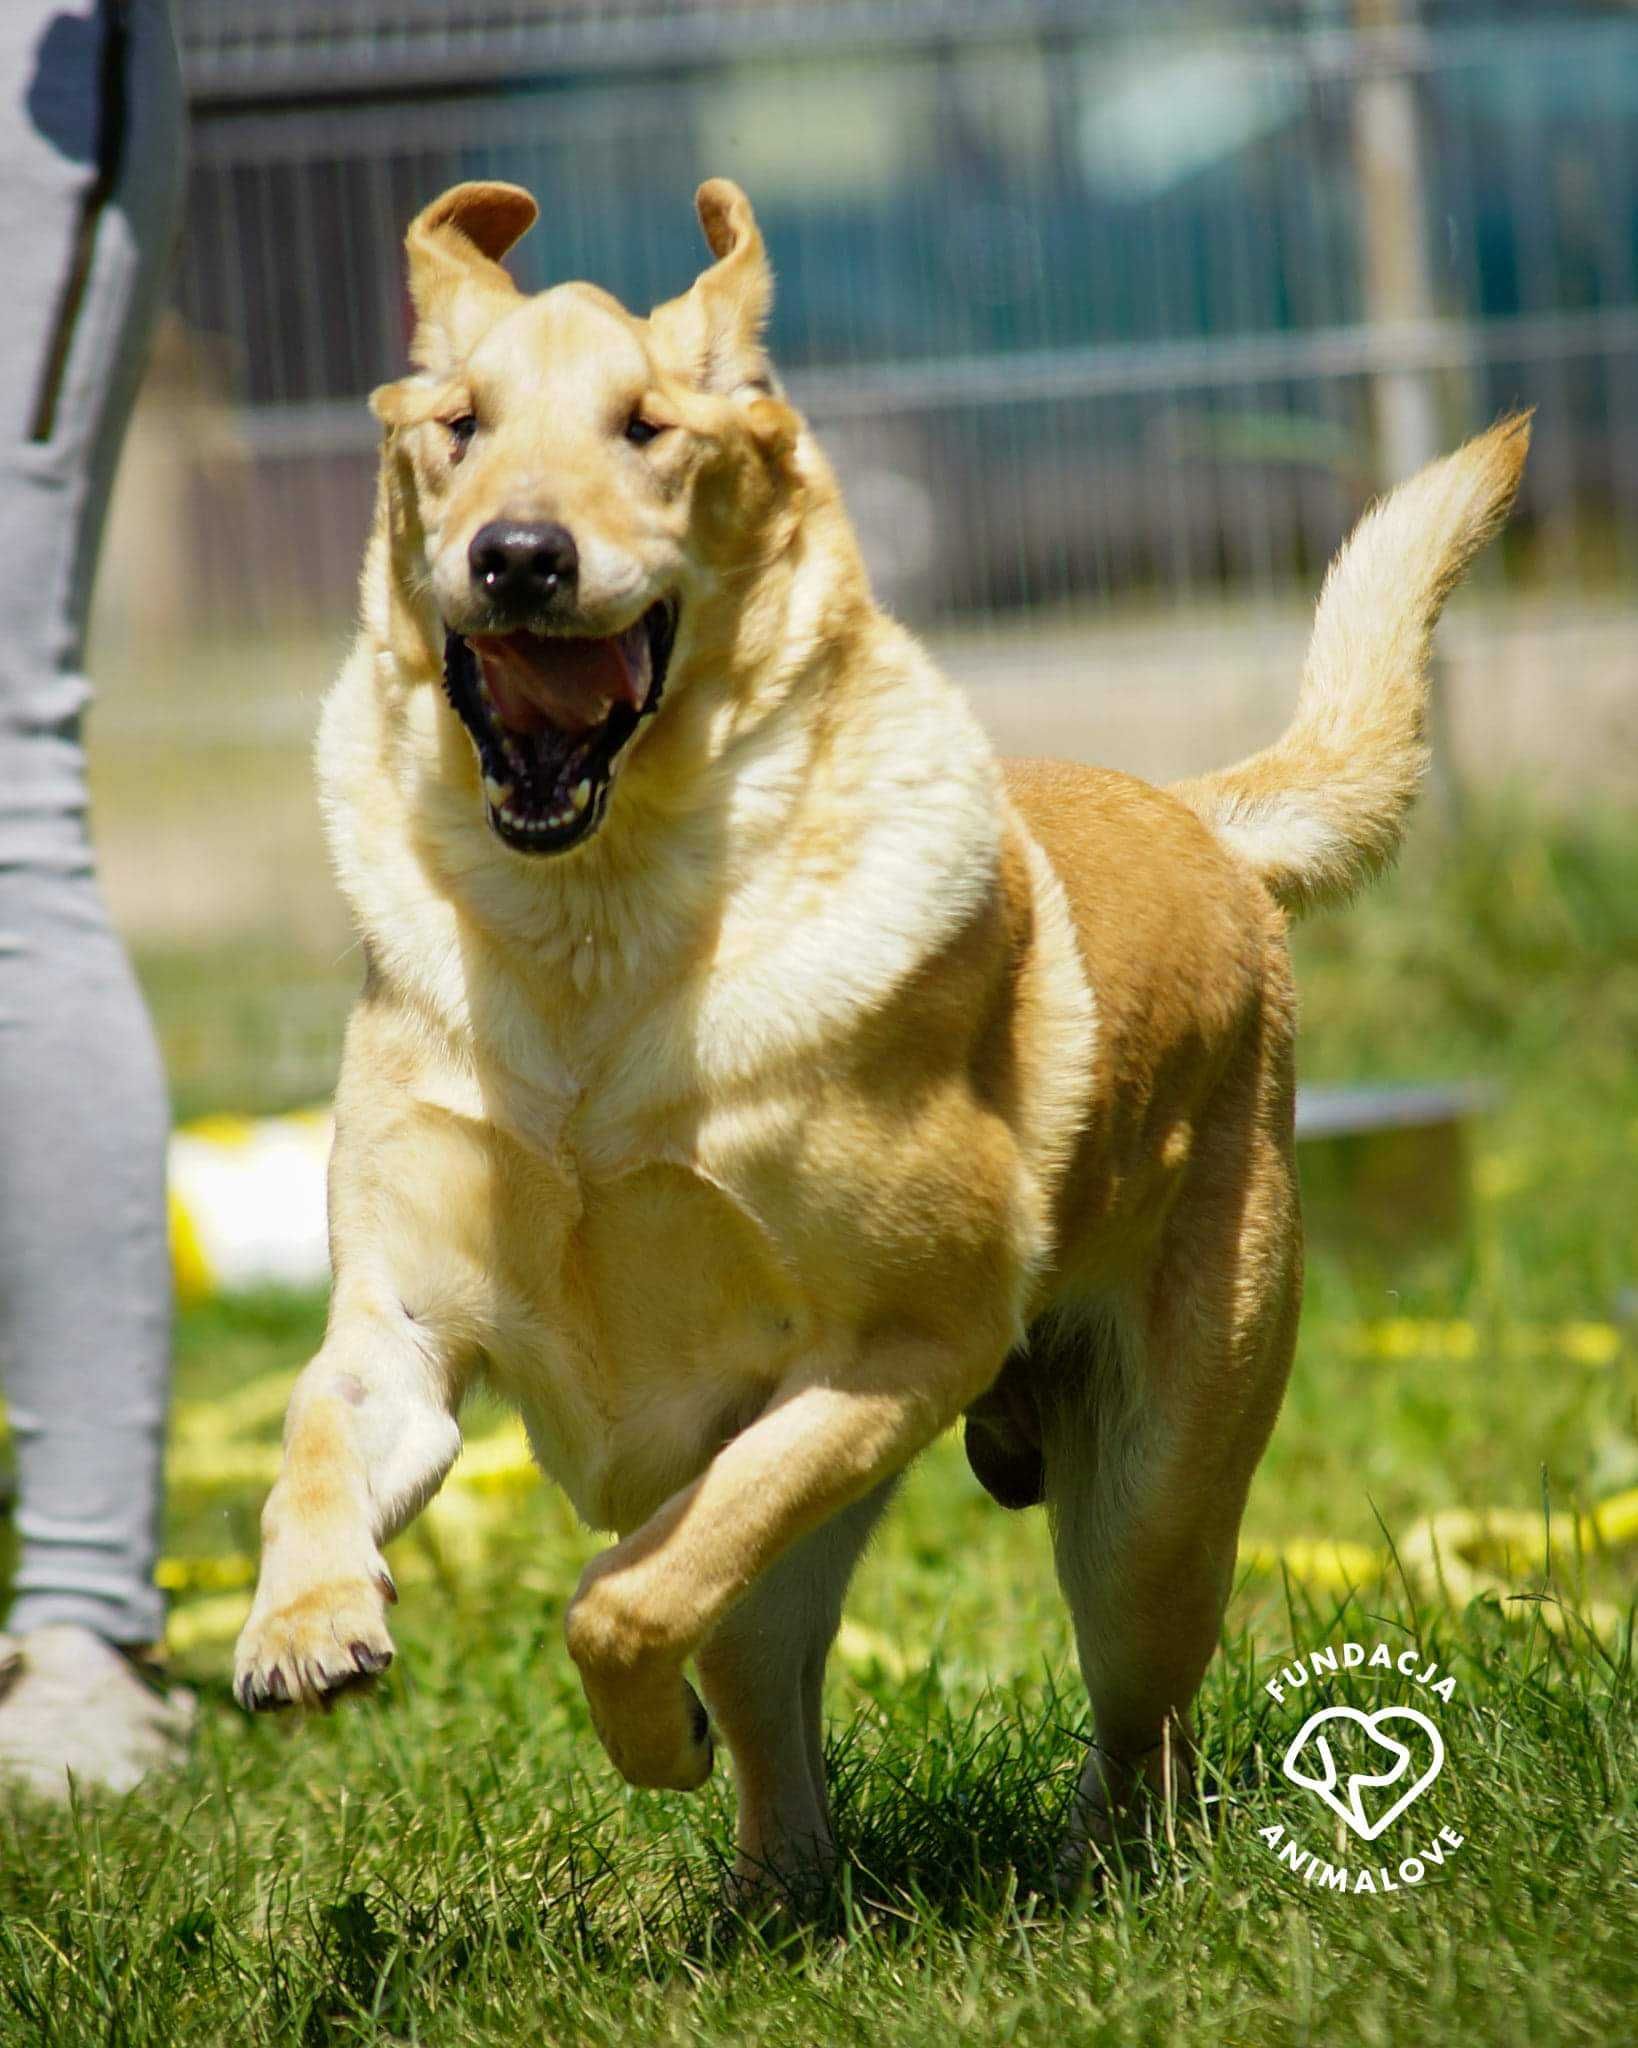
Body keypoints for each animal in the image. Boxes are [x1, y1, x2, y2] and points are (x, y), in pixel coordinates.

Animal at [233, 184, 1539, 1892]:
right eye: (458, 427)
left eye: (647, 428)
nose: (517, 559)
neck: (598, 940)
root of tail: (1196, 819)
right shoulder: (405, 1323)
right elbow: (317, 1446)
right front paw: (303, 1626)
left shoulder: (901, 1351)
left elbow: (620, 1600)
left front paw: (646, 1740)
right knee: (774, 1719)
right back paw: (770, 1895)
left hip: (1144, 1505)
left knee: (1139, 1714)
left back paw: (1102, 1864)